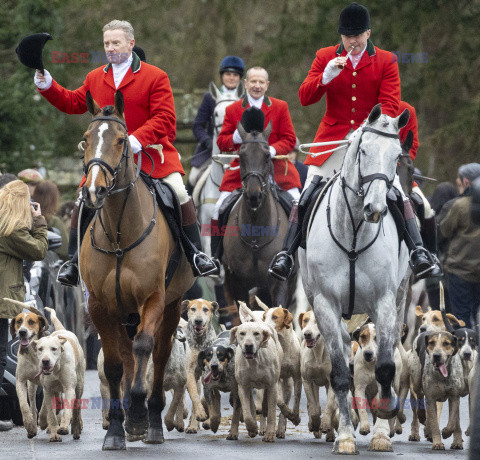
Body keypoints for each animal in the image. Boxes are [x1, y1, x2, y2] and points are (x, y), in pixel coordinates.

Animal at [79, 91, 194, 452]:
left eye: (120, 140)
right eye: (86, 139)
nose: (94, 191)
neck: (120, 232)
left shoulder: (153, 299)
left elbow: (145, 348)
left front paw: (143, 415)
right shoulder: (100, 306)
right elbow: (116, 365)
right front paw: (118, 427)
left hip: (171, 308)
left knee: (157, 354)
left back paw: (151, 418)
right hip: (123, 313)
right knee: (128, 357)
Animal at [300, 104, 408, 452]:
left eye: (397, 157)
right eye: (363, 151)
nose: (375, 208)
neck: (354, 232)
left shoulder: (384, 302)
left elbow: (385, 368)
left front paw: (382, 426)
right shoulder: (325, 306)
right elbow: (339, 375)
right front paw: (346, 436)